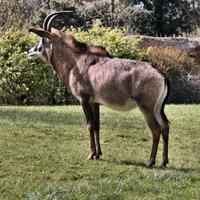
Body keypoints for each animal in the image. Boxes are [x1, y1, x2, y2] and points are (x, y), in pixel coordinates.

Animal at [27, 10, 170, 167]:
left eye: (42, 40)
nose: (29, 51)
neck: (76, 62)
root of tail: (160, 75)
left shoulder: (84, 100)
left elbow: (89, 125)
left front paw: (91, 154)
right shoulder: (95, 103)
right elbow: (97, 126)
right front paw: (98, 154)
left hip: (146, 107)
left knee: (156, 129)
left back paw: (151, 161)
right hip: (158, 108)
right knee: (165, 127)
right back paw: (164, 162)